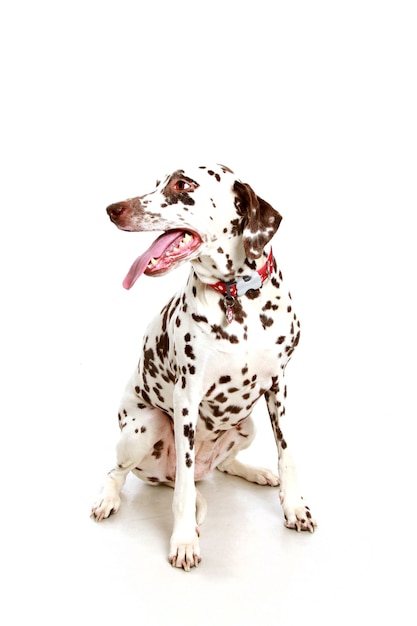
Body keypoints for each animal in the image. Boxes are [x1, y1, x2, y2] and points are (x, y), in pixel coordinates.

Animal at [92, 163, 316, 568]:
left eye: (183, 184)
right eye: (156, 184)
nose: (112, 209)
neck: (239, 297)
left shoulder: (279, 387)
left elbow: (287, 455)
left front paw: (295, 508)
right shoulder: (187, 400)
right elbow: (182, 488)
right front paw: (184, 540)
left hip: (247, 425)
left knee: (224, 465)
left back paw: (256, 472)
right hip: (146, 426)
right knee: (120, 472)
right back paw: (108, 499)